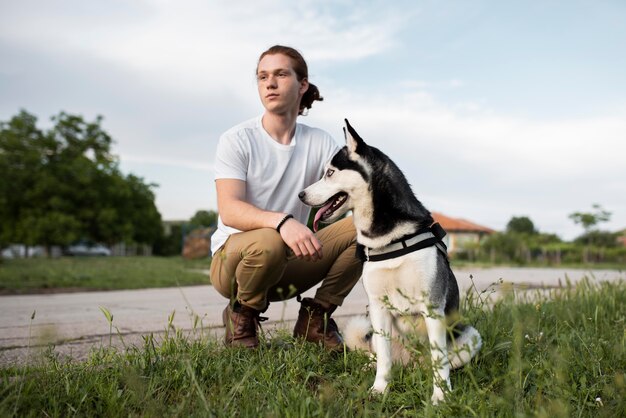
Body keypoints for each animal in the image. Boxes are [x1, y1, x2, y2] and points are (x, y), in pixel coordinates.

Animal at [300, 119, 480, 404]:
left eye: (329, 173)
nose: (301, 195)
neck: (390, 238)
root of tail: (410, 364)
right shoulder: (377, 307)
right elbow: (384, 359)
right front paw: (379, 389)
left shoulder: (432, 307)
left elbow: (439, 359)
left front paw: (440, 397)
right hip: (372, 330)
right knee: (379, 355)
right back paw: (369, 367)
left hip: (470, 336)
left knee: (440, 361)